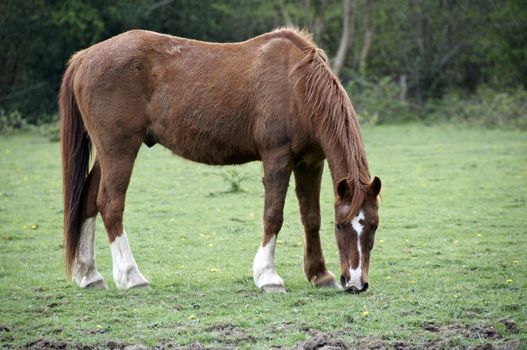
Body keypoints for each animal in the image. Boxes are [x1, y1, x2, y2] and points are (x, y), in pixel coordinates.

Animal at [59, 28, 382, 292]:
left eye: (374, 226)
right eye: (340, 226)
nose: (356, 283)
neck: (297, 85)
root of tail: (85, 57)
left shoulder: (310, 162)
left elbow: (311, 217)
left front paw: (320, 275)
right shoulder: (277, 158)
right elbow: (273, 215)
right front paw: (268, 277)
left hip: (107, 153)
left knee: (89, 200)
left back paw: (90, 275)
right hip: (120, 150)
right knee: (111, 205)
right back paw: (131, 277)